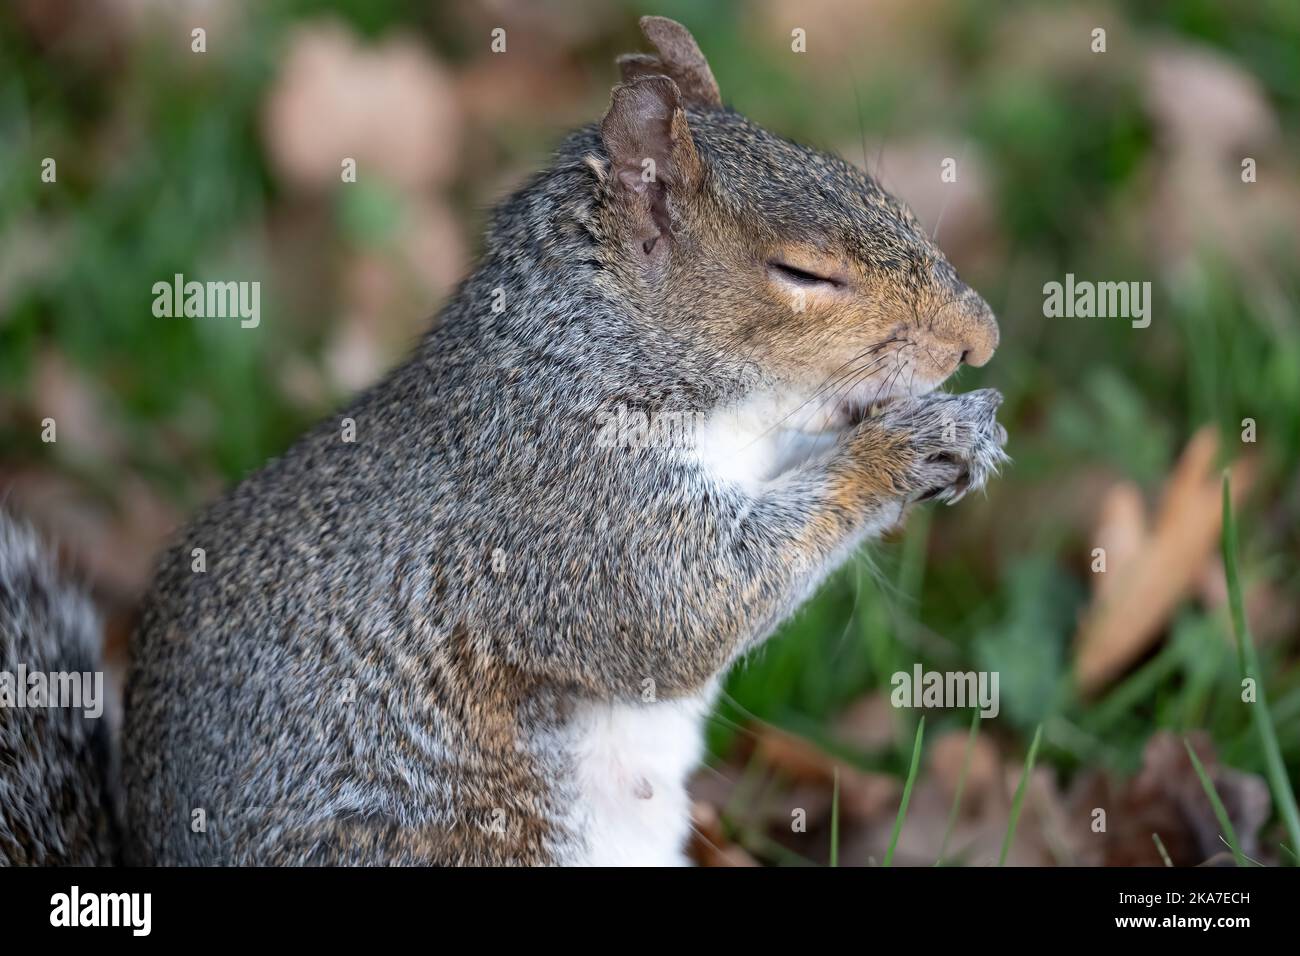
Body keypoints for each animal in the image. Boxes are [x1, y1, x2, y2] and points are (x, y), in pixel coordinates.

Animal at [1, 17, 1004, 866]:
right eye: (804, 273)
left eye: (875, 189)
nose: (981, 340)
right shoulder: (566, 511)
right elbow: (687, 610)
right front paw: (907, 445)